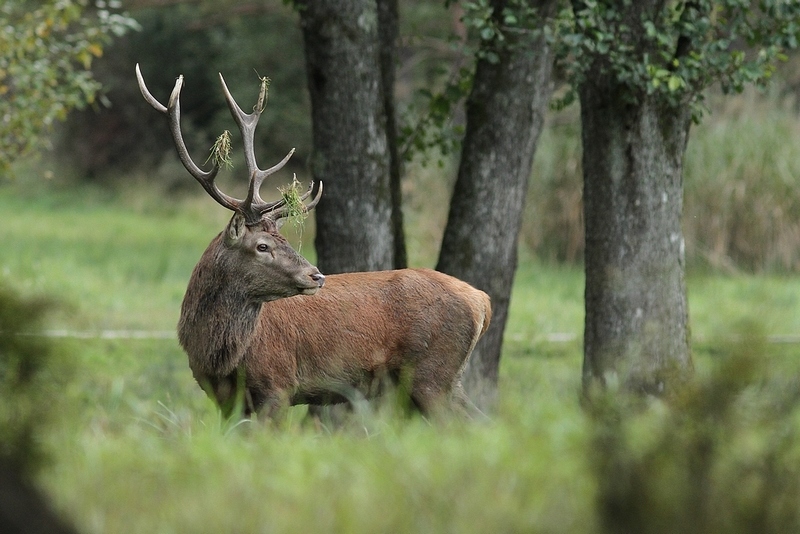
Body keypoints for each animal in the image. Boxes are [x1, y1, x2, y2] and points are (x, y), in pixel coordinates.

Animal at [135, 64, 491, 421]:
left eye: (282, 239)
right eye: (263, 245)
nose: (316, 275)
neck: (218, 357)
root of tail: (481, 301)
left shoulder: (277, 385)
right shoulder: (224, 401)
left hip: (431, 373)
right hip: (440, 381)